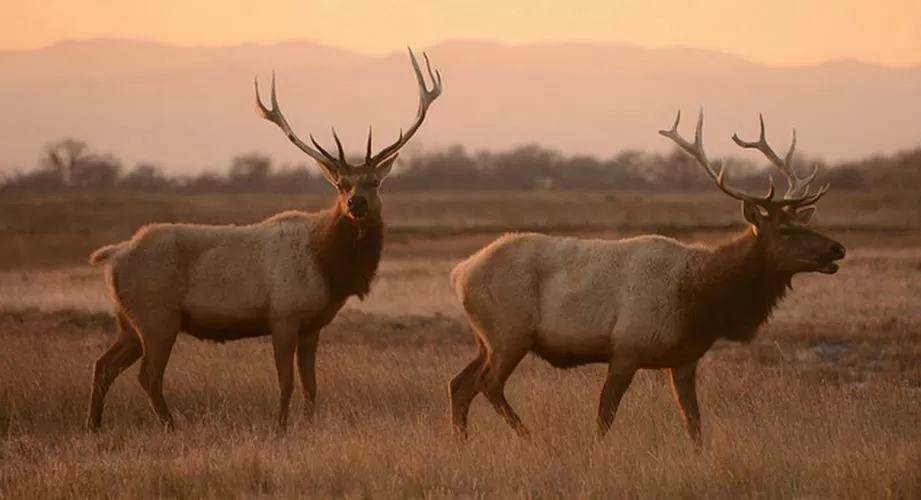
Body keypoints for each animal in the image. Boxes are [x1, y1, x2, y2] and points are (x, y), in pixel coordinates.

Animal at [85, 47, 443, 433]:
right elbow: (286, 381)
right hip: (156, 316)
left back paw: (94, 426)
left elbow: (311, 384)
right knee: (147, 376)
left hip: (129, 320)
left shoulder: (312, 325)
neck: (328, 267)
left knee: (103, 365)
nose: (356, 203)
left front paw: (309, 425)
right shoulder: (283, 315)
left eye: (374, 182)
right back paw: (171, 426)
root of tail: (114, 255)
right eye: (340, 184)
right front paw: (281, 428)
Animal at [446, 110, 845, 449]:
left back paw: (463, 444)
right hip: (509, 332)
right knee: (487, 384)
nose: (837, 248)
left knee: (459, 384)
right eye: (785, 230)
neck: (701, 301)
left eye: (803, 223)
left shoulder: (685, 358)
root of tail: (460, 272)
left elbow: (693, 422)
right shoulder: (627, 347)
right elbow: (605, 415)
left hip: (486, 338)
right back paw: (528, 437)